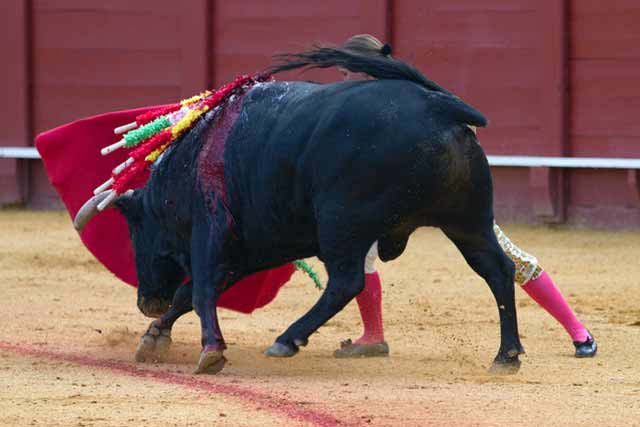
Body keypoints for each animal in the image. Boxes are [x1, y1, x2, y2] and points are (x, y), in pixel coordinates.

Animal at [76, 52, 524, 374]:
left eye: (134, 232)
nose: (146, 302)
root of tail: (439, 107)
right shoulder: (247, 248)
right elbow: (190, 293)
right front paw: (154, 337)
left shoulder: (211, 231)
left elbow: (201, 290)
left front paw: (210, 350)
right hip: (468, 222)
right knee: (497, 270)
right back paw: (507, 355)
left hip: (342, 225)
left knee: (346, 282)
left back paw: (286, 339)